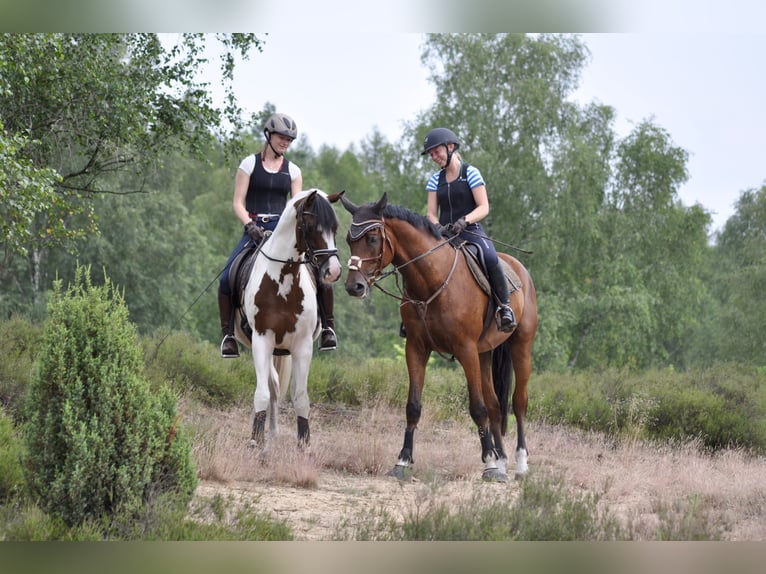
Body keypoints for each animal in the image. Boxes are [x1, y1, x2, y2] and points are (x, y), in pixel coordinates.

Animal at [232, 188, 343, 450]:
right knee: (272, 386)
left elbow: (300, 397)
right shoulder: (262, 340)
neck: (282, 280)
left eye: (335, 228)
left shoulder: (302, 346)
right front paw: (256, 439)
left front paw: (304, 445)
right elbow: (263, 392)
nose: (333, 271)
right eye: (311, 226)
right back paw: (269, 436)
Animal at [340, 193, 538, 482]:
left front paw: (488, 462)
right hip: (485, 353)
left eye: (373, 238)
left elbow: (476, 408)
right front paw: (402, 461)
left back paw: (520, 464)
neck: (432, 279)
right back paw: (502, 464)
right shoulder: (416, 348)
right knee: (494, 405)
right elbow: (413, 406)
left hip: (520, 346)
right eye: (349, 239)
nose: (354, 287)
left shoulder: (465, 349)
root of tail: (518, 267)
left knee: (518, 403)